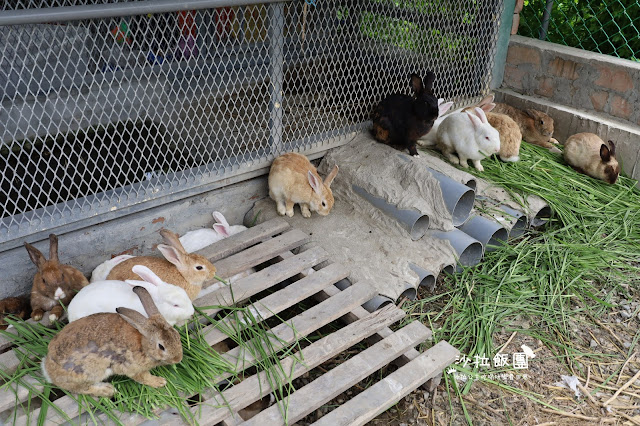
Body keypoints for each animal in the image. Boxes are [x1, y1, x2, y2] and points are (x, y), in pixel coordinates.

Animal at [42, 284, 182, 398]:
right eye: (161, 346)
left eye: (177, 335)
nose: (178, 359)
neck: (143, 343)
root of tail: (47, 370)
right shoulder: (132, 367)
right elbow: (143, 377)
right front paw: (159, 382)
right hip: (88, 373)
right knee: (81, 389)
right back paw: (108, 390)